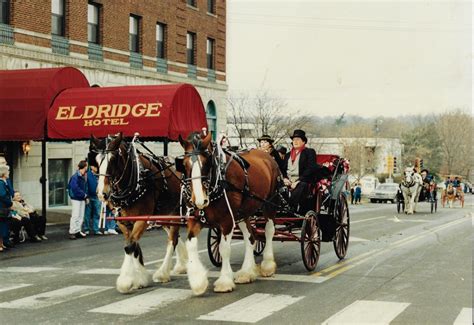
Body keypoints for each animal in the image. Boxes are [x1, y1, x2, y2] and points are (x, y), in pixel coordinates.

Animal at [90, 133, 186, 292]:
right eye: (97, 160)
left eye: (113, 160)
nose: (101, 193)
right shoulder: (123, 222)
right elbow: (132, 245)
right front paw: (139, 278)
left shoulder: (142, 219)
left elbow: (130, 246)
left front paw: (127, 280)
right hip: (164, 215)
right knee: (174, 238)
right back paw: (181, 265)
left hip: (176, 213)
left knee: (173, 240)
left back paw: (162, 273)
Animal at [180, 130, 280, 294]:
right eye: (183, 164)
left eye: (206, 163)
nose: (200, 200)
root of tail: (267, 156)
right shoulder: (195, 220)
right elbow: (191, 245)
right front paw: (197, 281)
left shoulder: (227, 220)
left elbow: (224, 249)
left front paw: (225, 281)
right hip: (242, 213)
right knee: (251, 237)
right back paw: (246, 272)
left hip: (269, 204)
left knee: (269, 231)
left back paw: (267, 265)